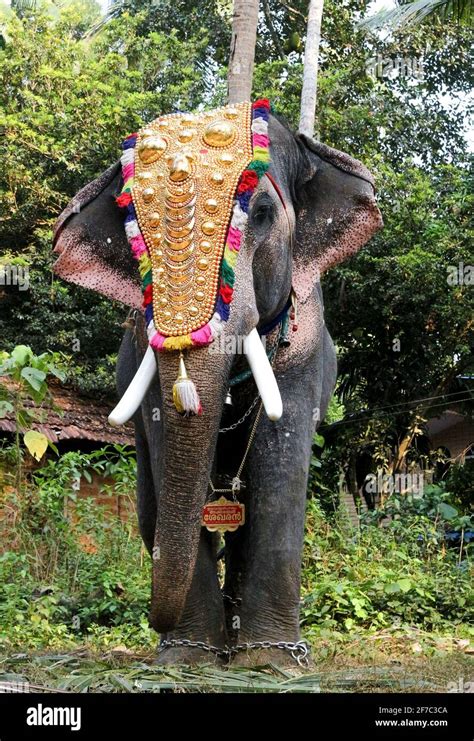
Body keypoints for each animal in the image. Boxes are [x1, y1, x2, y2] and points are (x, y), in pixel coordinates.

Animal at [52, 107, 382, 668]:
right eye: (131, 224)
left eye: (264, 211)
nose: (155, 624)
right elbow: (167, 448)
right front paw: (186, 660)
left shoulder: (303, 342)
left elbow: (279, 469)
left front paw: (270, 663)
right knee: (150, 503)